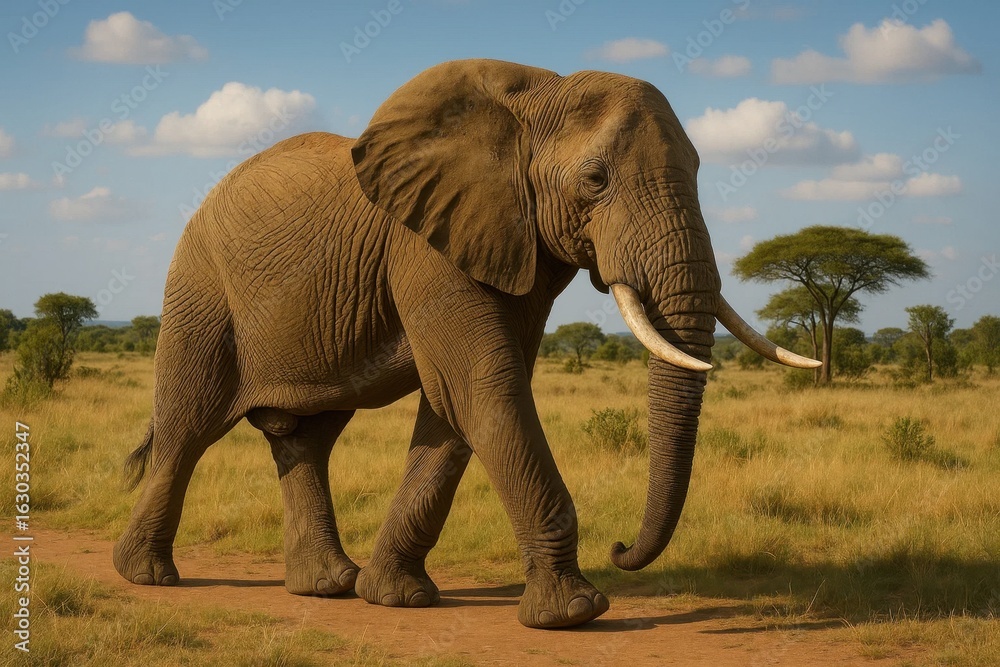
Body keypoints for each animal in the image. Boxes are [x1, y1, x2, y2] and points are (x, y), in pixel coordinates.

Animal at [114, 59, 819, 629]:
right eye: (595, 180)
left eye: (700, 169)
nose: (621, 549)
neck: (533, 97)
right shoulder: (426, 242)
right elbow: (484, 386)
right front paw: (573, 614)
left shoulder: (510, 238)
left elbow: (456, 405)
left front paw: (395, 598)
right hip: (201, 289)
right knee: (187, 427)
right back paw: (145, 577)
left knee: (308, 437)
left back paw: (327, 587)